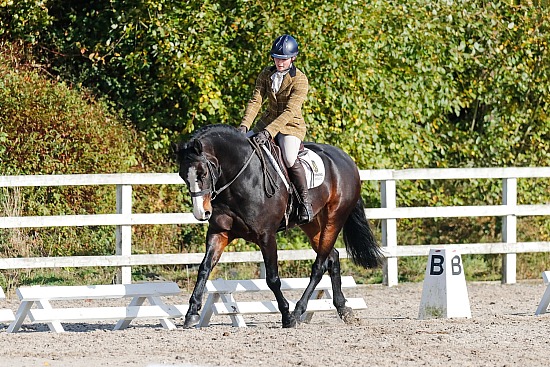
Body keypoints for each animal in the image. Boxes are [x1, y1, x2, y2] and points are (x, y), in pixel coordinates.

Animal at [172, 123, 384, 328]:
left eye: (203, 173)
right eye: (182, 175)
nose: (201, 213)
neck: (240, 180)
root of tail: (346, 159)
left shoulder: (267, 236)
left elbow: (273, 279)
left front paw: (287, 316)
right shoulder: (219, 232)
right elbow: (204, 268)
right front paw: (192, 313)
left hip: (334, 219)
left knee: (319, 265)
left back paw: (298, 312)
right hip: (312, 224)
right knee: (332, 257)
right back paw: (343, 309)